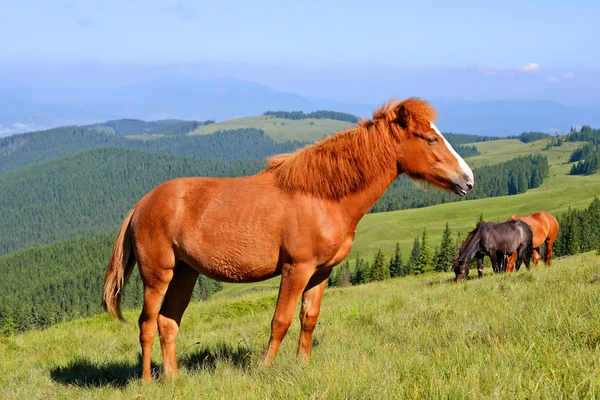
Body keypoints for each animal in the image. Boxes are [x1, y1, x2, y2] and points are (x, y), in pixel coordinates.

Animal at [102, 97, 474, 382]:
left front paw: (302, 365)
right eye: (430, 139)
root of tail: (141, 204)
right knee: (147, 324)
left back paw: (175, 378)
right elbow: (279, 320)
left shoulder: (321, 272)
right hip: (158, 276)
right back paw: (147, 382)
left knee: (168, 323)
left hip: (185, 273)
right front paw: (266, 369)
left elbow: (308, 319)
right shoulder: (297, 269)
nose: (468, 179)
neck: (321, 196)